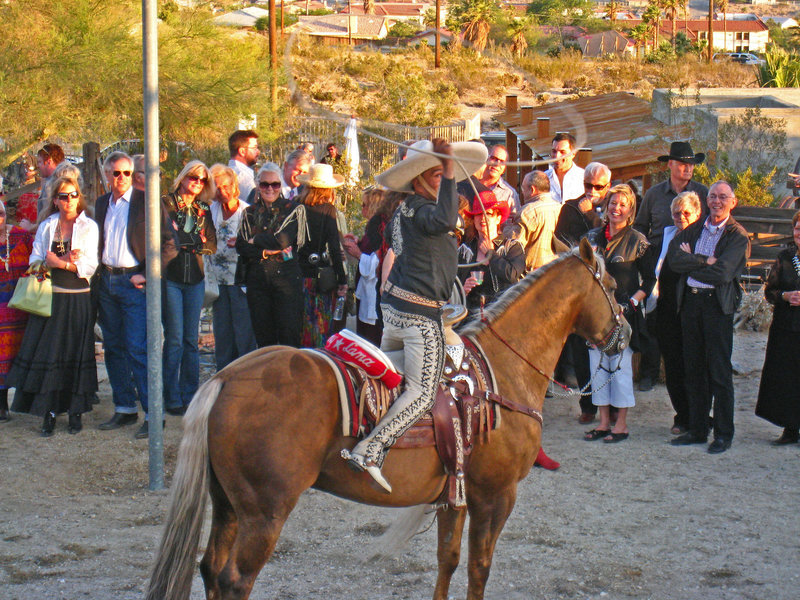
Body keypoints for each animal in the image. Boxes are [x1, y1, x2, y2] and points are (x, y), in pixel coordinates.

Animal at [144, 239, 632, 600]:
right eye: (609, 283)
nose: (624, 334)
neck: (500, 369)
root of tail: (226, 376)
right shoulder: (495, 496)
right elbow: (479, 568)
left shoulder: (454, 494)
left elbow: (448, 560)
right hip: (264, 513)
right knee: (233, 580)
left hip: (228, 504)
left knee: (210, 569)